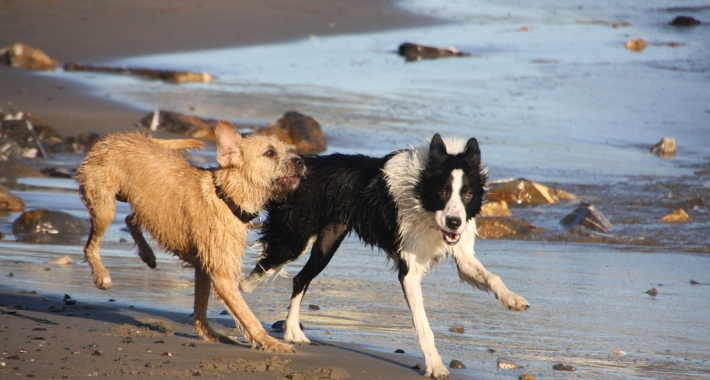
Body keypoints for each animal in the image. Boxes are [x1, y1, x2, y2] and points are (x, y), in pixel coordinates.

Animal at [76, 121, 308, 354]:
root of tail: (114, 138)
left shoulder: (204, 267)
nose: (301, 161)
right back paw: (102, 276)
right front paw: (272, 343)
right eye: (269, 153)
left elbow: (200, 307)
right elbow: (248, 317)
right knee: (91, 245)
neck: (226, 196)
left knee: (130, 219)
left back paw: (148, 254)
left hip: (141, 204)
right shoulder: (222, 275)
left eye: (286, 149)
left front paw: (210, 334)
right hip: (105, 207)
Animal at [242, 135, 532, 378]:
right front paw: (435, 366)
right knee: (254, 275)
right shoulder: (409, 271)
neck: (421, 195)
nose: (453, 222)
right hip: (293, 240)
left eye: (468, 194)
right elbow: (423, 325)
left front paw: (513, 300)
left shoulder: (461, 254)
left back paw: (293, 332)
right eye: (443, 192)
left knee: (300, 279)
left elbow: (491, 276)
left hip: (327, 245)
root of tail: (295, 172)